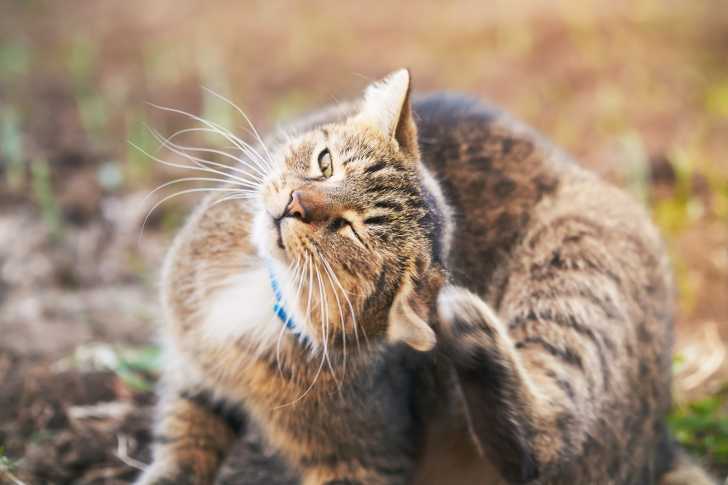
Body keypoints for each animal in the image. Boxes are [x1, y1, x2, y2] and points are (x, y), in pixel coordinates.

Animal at [134, 70, 712, 482]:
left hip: (578, 259)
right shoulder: (193, 380)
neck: (272, 293)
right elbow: (179, 450)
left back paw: (473, 329)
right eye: (326, 163)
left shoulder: (365, 458)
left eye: (352, 230)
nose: (296, 202)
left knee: (547, 446)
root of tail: (659, 440)